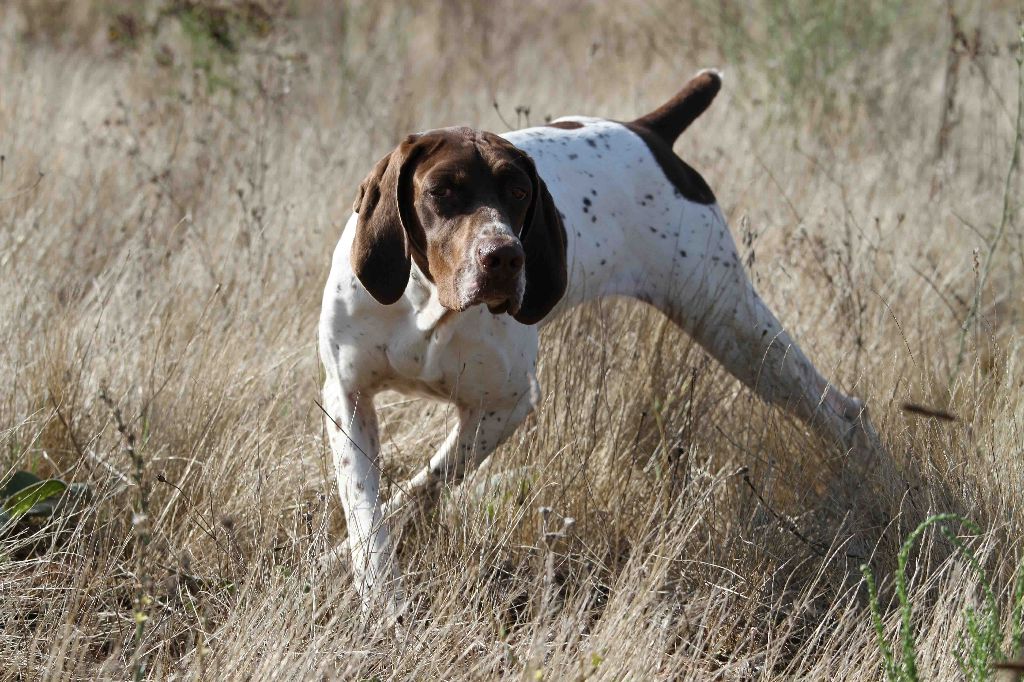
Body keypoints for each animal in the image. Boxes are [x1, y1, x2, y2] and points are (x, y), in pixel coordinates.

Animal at [319, 70, 880, 614]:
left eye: (519, 193)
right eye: (441, 191)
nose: (504, 256)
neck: (428, 300)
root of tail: (646, 129)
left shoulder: (506, 405)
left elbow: (426, 486)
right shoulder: (347, 394)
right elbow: (368, 505)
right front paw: (374, 588)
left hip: (734, 325)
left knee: (841, 410)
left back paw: (872, 487)